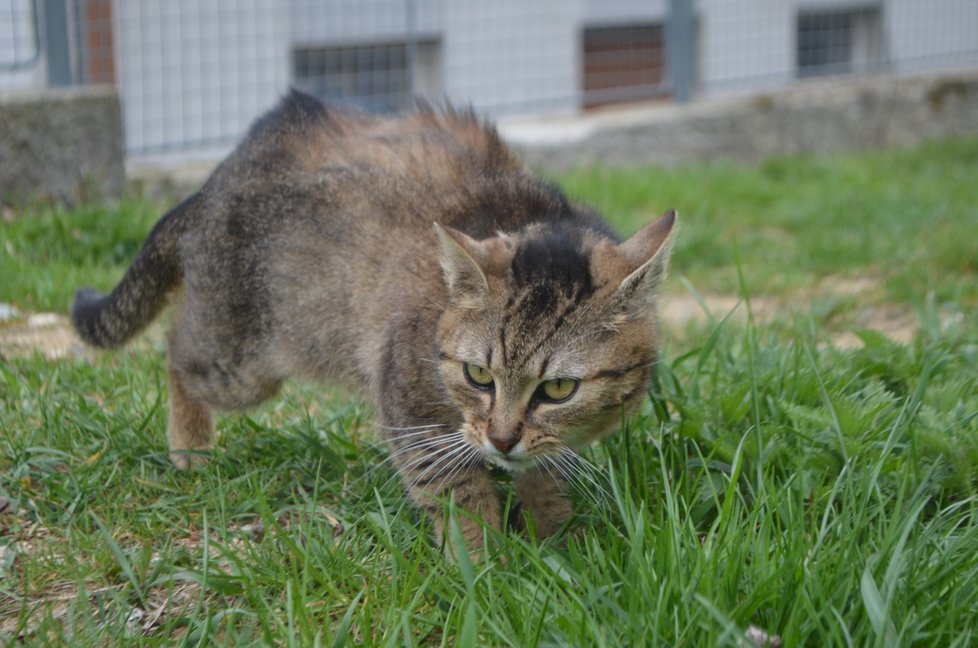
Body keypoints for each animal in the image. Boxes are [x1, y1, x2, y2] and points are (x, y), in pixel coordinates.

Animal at [72, 91, 676, 556]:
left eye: (558, 389)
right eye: (479, 376)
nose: (502, 440)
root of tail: (214, 181)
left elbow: (547, 478)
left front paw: (556, 545)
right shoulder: (414, 414)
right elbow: (460, 498)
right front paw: (485, 571)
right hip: (238, 362)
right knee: (175, 347)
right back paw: (190, 447)